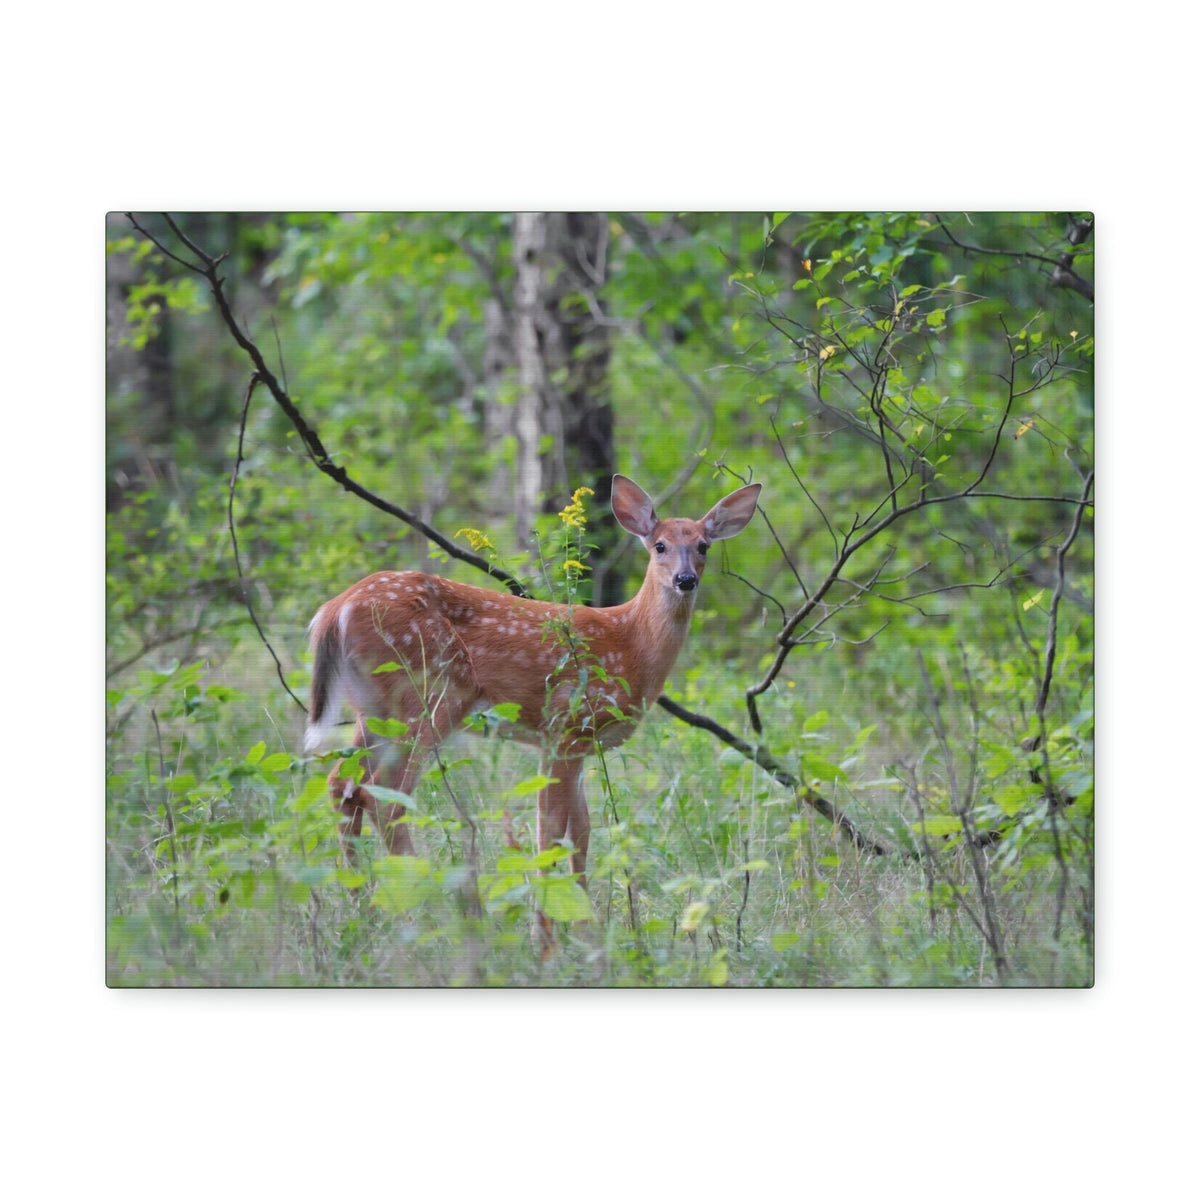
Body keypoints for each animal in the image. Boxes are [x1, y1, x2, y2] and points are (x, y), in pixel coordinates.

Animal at [303, 473, 761, 910]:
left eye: (703, 546)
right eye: (660, 545)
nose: (685, 580)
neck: (631, 644)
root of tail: (334, 609)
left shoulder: (577, 743)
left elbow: (581, 831)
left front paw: (586, 914)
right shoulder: (566, 725)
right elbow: (552, 830)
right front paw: (550, 914)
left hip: (374, 706)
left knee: (341, 784)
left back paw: (362, 900)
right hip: (430, 694)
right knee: (384, 796)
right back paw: (425, 900)